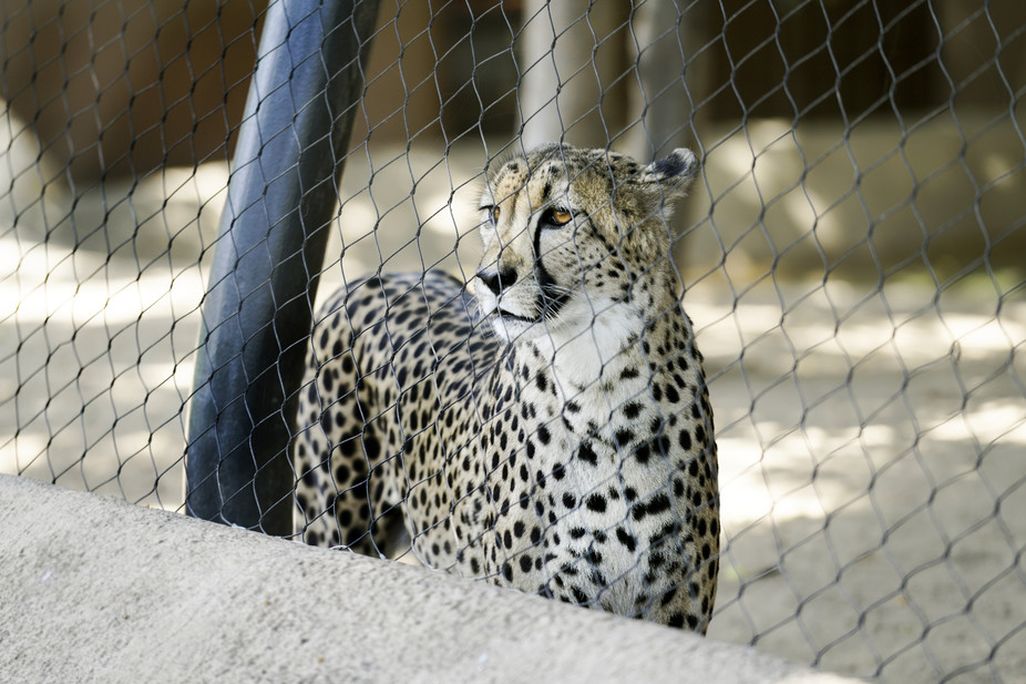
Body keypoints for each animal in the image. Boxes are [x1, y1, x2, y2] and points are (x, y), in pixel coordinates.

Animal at [292, 143, 719, 632]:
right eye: (493, 213)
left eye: (558, 216)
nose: (491, 279)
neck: (601, 383)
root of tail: (378, 276)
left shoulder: (675, 614)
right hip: (332, 526)